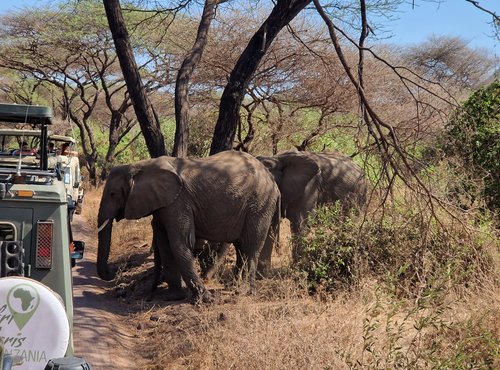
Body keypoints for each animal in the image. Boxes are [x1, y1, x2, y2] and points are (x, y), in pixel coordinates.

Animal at [95, 151, 280, 304]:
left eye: (113, 194)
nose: (112, 273)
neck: (141, 166)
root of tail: (272, 180)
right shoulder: (164, 204)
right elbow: (165, 245)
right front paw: (173, 297)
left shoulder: (178, 201)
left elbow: (179, 243)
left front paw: (206, 299)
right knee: (241, 247)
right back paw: (234, 288)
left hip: (259, 204)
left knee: (251, 247)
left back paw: (245, 292)